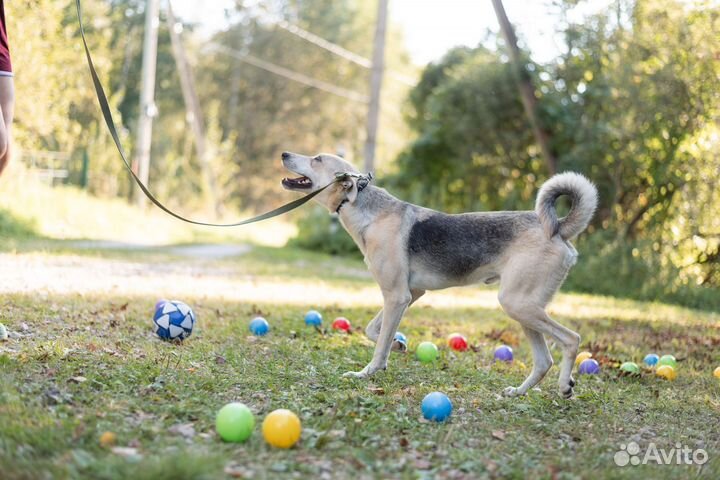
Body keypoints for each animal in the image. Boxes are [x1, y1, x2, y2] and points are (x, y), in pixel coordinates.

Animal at [282, 151, 596, 398]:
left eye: (317, 159)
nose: (284, 154)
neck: (365, 209)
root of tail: (558, 229)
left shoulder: (397, 296)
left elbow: (378, 345)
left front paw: (367, 373)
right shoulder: (409, 294)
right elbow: (375, 331)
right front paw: (397, 346)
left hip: (518, 304)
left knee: (571, 339)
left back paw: (564, 386)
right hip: (524, 309)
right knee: (544, 361)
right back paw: (517, 392)